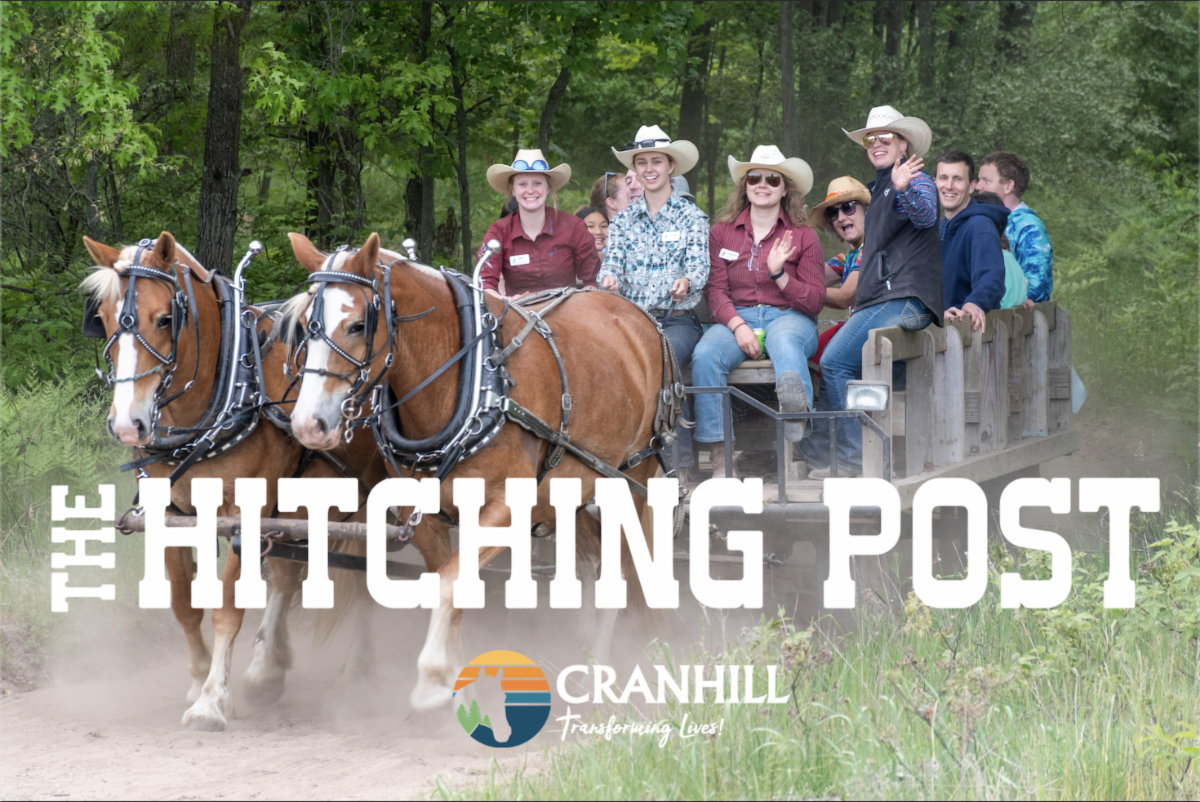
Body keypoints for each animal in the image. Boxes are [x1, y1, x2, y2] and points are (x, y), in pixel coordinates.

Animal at [80, 232, 388, 731]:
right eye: (104, 318)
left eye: (165, 318)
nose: (128, 425)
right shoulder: (172, 513)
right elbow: (184, 604)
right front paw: (200, 677)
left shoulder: (246, 513)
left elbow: (226, 608)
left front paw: (211, 700)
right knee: (287, 573)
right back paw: (268, 666)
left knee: (364, 580)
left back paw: (358, 672)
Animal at [281, 231, 678, 711]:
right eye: (305, 325)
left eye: (357, 325)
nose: (308, 424)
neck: (475, 384)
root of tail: (637, 314)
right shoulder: (426, 519)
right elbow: (451, 587)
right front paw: (459, 682)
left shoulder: (506, 510)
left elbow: (449, 584)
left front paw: (432, 679)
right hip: (578, 486)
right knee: (586, 564)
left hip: (634, 477)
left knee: (619, 573)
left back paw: (600, 673)